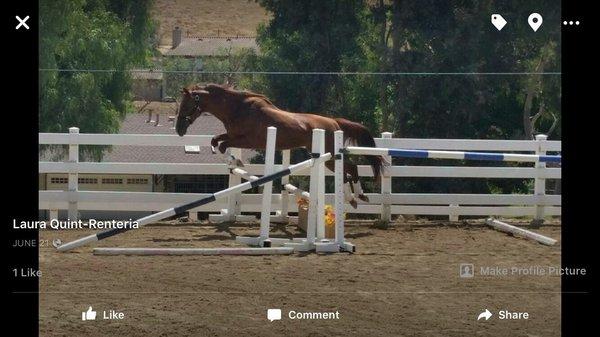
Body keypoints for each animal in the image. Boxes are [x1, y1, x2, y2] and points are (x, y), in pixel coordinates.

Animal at [176, 82, 386, 206]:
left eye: (186, 105)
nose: (179, 130)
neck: (238, 108)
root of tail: (335, 122)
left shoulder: (248, 140)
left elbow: (222, 145)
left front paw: (236, 161)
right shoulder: (233, 135)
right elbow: (216, 140)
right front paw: (233, 161)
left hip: (329, 157)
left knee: (349, 169)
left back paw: (354, 197)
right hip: (328, 157)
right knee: (350, 169)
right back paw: (358, 197)